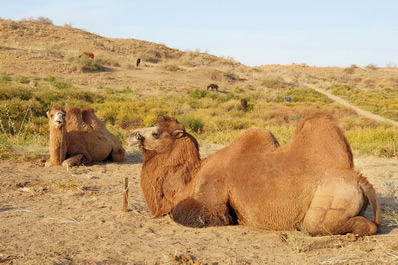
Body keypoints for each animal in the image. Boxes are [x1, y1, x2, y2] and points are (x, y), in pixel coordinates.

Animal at [129, 113, 380, 235]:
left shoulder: (212, 202)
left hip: (331, 200)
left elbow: (181, 213)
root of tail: (360, 180)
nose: (132, 134)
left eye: (157, 133)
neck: (191, 177)